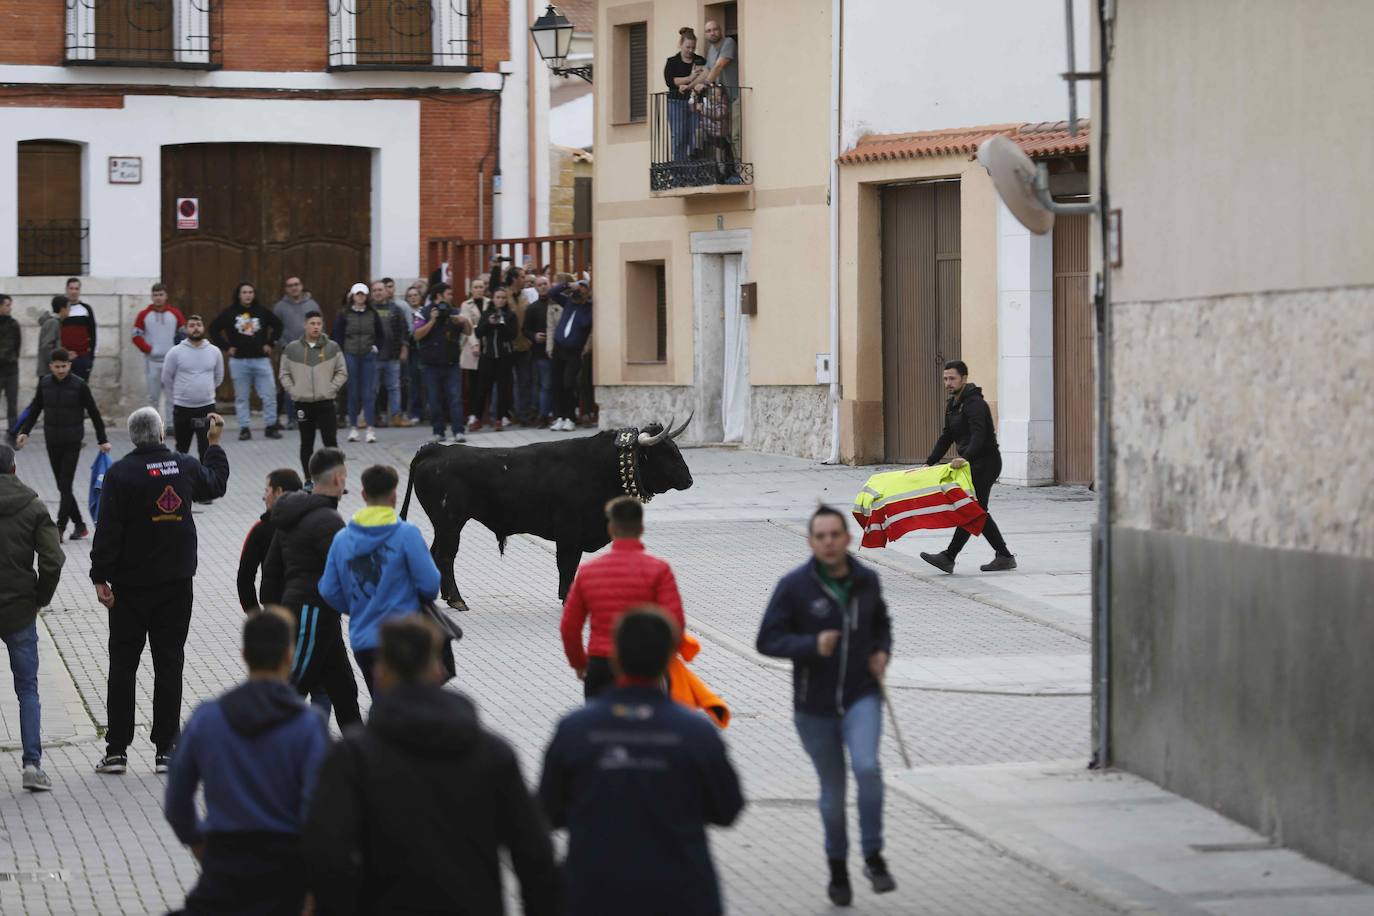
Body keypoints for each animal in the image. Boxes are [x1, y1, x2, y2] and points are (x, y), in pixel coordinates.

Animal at [401, 425, 697, 612]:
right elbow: (567, 566)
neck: (599, 467)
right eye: (666, 452)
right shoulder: (570, 534)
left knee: (434, 553)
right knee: (445, 556)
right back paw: (457, 600)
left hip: (444, 525)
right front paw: (567, 598)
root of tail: (437, 449)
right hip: (450, 522)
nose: (689, 479)